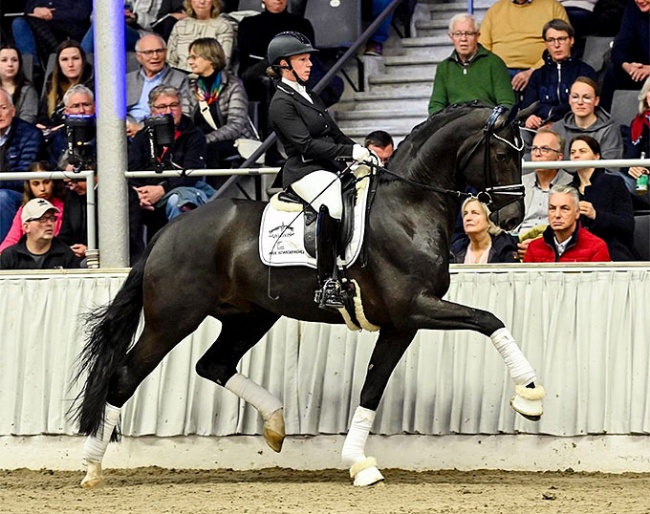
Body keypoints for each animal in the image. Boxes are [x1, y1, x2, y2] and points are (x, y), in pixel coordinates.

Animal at [71, 102, 546, 488]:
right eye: (503, 154)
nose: (513, 217)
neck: (409, 207)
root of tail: (168, 231)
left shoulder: (401, 324)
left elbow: (372, 388)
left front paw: (358, 463)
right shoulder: (414, 308)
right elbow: (489, 320)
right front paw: (530, 396)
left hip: (250, 317)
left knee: (214, 364)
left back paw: (276, 424)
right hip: (172, 319)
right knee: (125, 376)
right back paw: (91, 468)